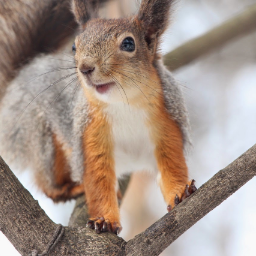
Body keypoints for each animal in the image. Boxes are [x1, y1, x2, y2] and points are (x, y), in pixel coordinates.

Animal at [0, 0, 197, 235]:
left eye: (128, 43)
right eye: (74, 47)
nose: (85, 68)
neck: (124, 103)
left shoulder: (168, 124)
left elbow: (171, 164)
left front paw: (180, 192)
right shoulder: (90, 135)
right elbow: (98, 178)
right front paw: (105, 220)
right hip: (39, 135)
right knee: (50, 185)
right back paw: (73, 188)